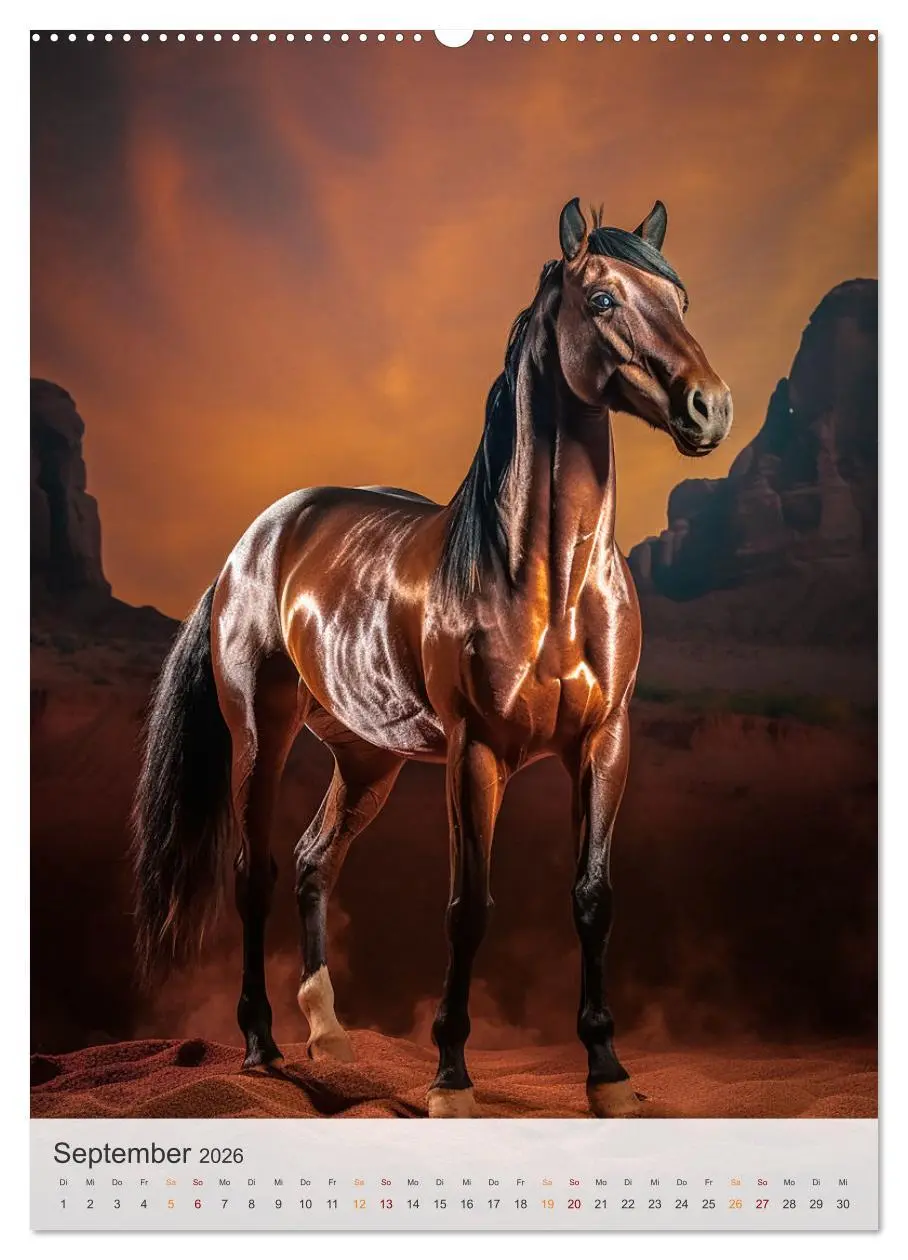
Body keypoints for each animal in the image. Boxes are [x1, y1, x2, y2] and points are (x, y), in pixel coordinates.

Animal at [132, 197, 732, 1118]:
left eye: (681, 300)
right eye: (602, 301)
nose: (710, 407)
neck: (545, 579)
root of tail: (254, 542)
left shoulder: (605, 744)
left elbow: (593, 899)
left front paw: (609, 1072)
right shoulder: (474, 753)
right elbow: (467, 907)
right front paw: (451, 1076)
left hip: (366, 758)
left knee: (313, 862)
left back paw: (330, 1035)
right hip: (260, 739)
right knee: (255, 872)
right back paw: (264, 1044)